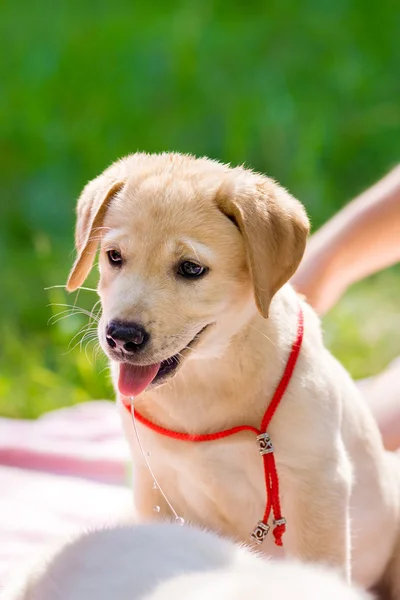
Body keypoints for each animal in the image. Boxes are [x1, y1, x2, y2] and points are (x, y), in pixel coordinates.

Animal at [68, 154, 400, 596]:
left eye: (191, 269)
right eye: (114, 256)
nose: (121, 337)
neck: (208, 376)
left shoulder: (319, 487)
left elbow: (320, 568)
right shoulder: (153, 485)